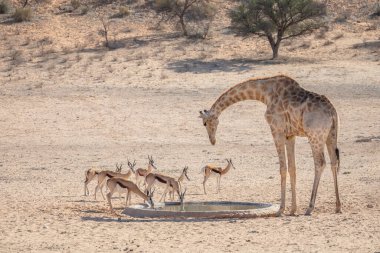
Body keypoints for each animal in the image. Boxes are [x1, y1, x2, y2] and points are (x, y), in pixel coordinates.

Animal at [199, 74, 342, 215]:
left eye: (205, 123)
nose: (212, 141)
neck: (264, 94)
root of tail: (332, 112)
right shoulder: (290, 135)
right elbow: (292, 168)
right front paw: (292, 209)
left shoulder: (276, 130)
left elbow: (283, 168)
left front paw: (281, 209)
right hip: (331, 135)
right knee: (334, 162)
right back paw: (338, 207)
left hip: (315, 136)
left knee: (320, 163)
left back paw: (310, 208)